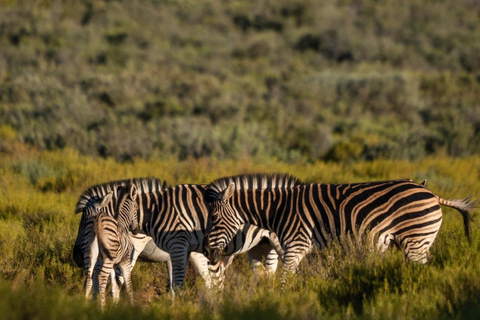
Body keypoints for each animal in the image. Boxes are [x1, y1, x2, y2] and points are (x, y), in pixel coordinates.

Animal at [93, 182, 139, 310]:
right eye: (137, 208)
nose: (136, 230)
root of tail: (99, 220)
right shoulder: (125, 261)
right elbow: (129, 286)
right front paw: (132, 307)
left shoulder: (114, 265)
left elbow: (115, 287)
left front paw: (115, 307)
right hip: (108, 257)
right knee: (101, 277)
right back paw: (101, 308)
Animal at [204, 176, 478, 286]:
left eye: (214, 218)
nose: (208, 252)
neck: (277, 210)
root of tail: (431, 193)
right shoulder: (302, 251)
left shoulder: (295, 245)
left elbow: (285, 279)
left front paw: (283, 300)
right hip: (420, 242)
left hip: (415, 241)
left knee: (422, 273)